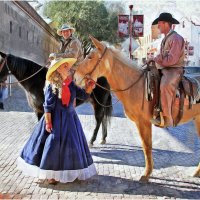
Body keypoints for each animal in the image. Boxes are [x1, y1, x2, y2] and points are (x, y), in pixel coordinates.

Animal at [75, 35, 200, 182]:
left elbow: (147, 146)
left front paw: (146, 173)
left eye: (90, 56)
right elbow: (146, 145)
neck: (136, 86)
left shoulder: (143, 122)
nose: (75, 76)